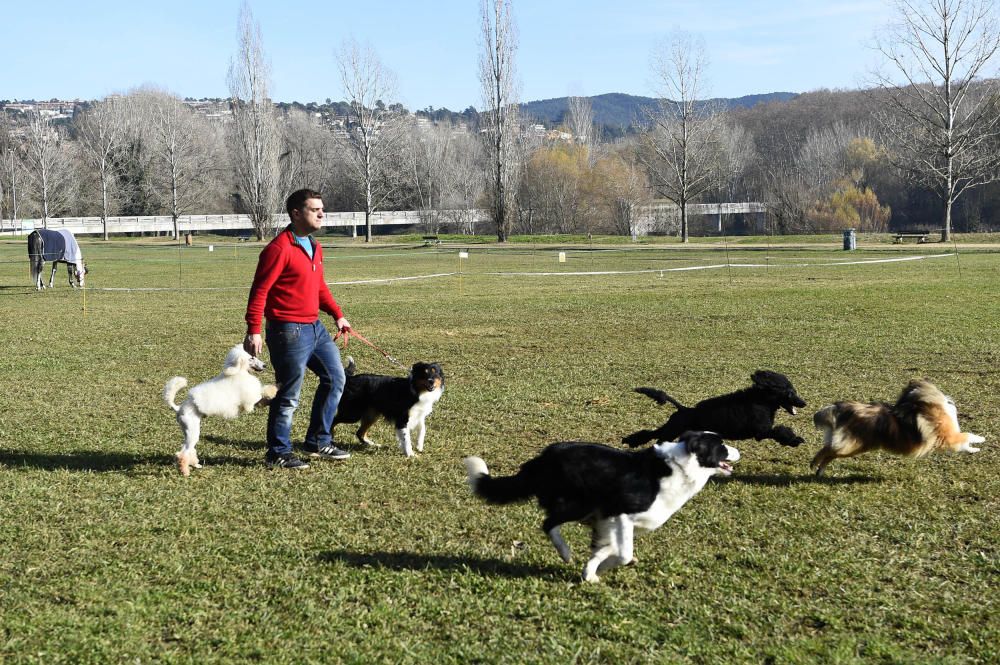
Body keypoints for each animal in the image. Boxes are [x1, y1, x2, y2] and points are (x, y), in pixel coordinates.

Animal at [165, 342, 278, 478]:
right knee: (183, 453)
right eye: (251, 358)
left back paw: (195, 464)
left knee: (187, 449)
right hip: (192, 429)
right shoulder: (249, 399)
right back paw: (185, 471)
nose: (265, 365)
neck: (238, 372)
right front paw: (274, 390)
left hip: (189, 430)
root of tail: (179, 408)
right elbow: (262, 393)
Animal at [620, 368, 808, 446]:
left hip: (671, 429)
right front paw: (795, 441)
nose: (804, 403)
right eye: (790, 393)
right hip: (671, 431)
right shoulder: (761, 432)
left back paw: (630, 441)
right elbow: (781, 432)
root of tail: (683, 408)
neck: (762, 401)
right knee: (656, 438)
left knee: (650, 434)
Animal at [812, 378, 984, 472]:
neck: (922, 404)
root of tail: (843, 408)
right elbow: (967, 436)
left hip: (854, 446)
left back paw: (817, 468)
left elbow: (965, 443)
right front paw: (981, 440)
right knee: (828, 451)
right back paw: (815, 465)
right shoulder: (948, 437)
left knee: (828, 451)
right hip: (851, 446)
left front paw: (974, 448)